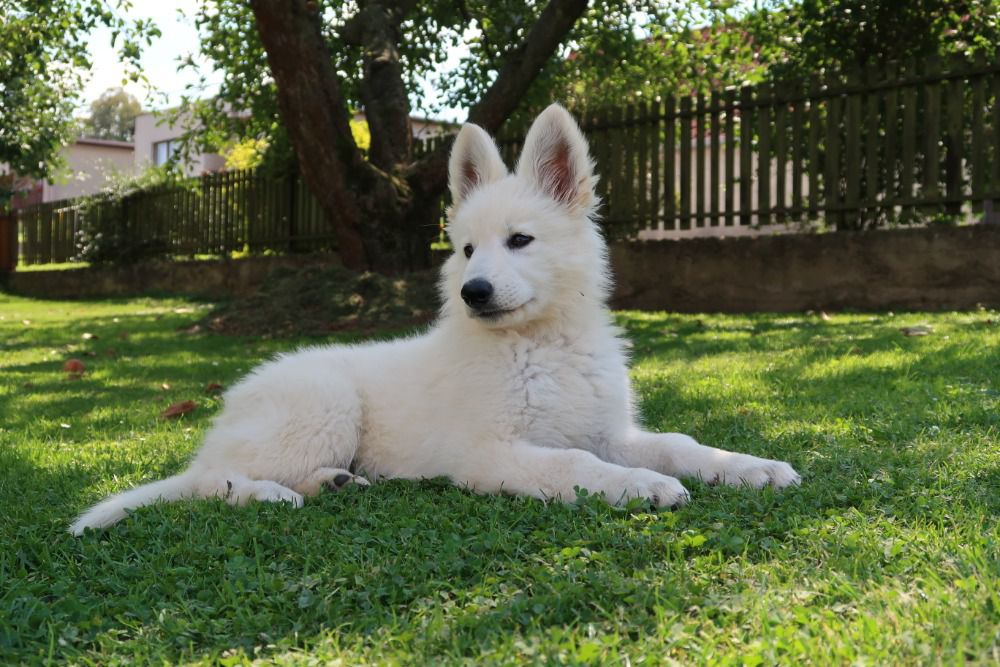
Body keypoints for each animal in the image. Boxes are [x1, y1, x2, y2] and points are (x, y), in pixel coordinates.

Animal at [70, 105, 800, 536]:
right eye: (468, 249)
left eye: (520, 241)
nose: (474, 292)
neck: (539, 344)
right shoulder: (490, 453)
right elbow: (575, 466)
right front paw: (641, 487)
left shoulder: (608, 431)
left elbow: (679, 441)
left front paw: (748, 466)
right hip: (324, 407)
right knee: (210, 481)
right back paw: (270, 495)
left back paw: (335, 483)